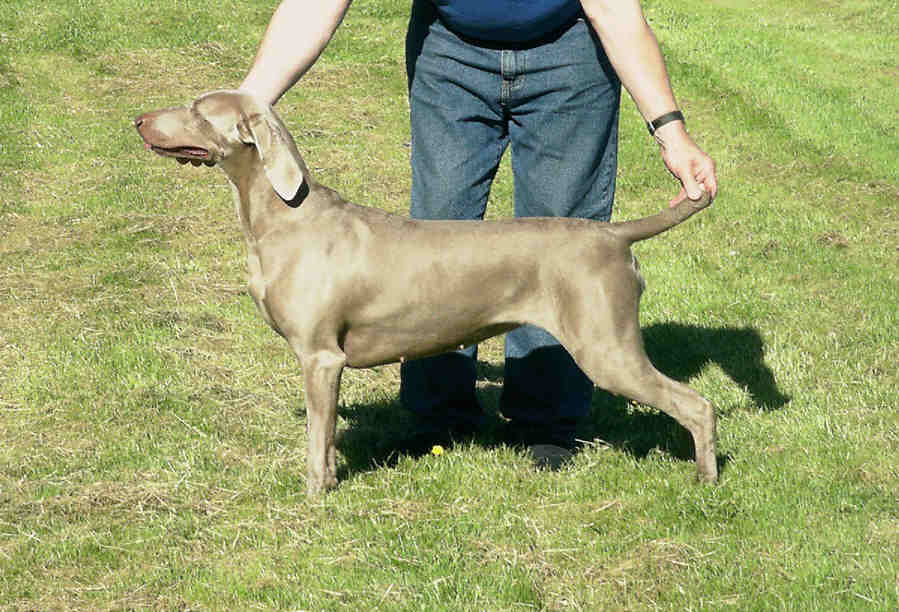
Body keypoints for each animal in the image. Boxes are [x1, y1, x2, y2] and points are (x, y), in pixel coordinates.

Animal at [135, 88, 716, 494]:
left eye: (197, 109)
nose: (138, 120)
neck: (283, 215)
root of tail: (613, 234)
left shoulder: (320, 357)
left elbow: (318, 438)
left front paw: (315, 494)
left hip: (606, 346)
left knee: (697, 405)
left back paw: (706, 480)